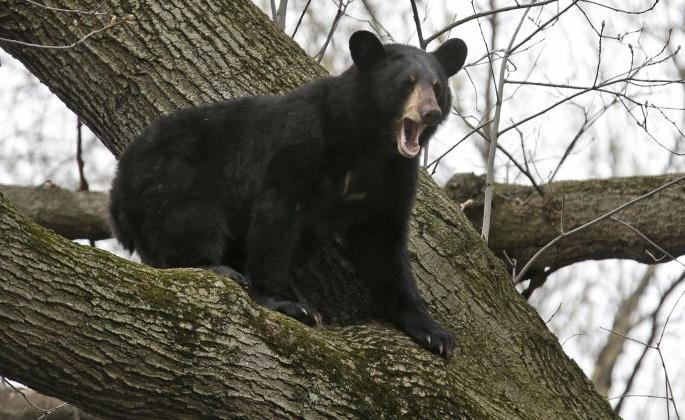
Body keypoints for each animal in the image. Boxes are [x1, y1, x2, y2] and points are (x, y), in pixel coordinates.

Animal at [109, 30, 467, 357]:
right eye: (406, 82)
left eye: (437, 87)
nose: (430, 113)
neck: (369, 145)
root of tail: (119, 185)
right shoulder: (302, 145)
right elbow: (277, 214)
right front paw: (285, 303)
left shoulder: (394, 177)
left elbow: (383, 243)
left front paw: (434, 333)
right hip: (177, 175)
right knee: (193, 219)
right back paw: (218, 268)